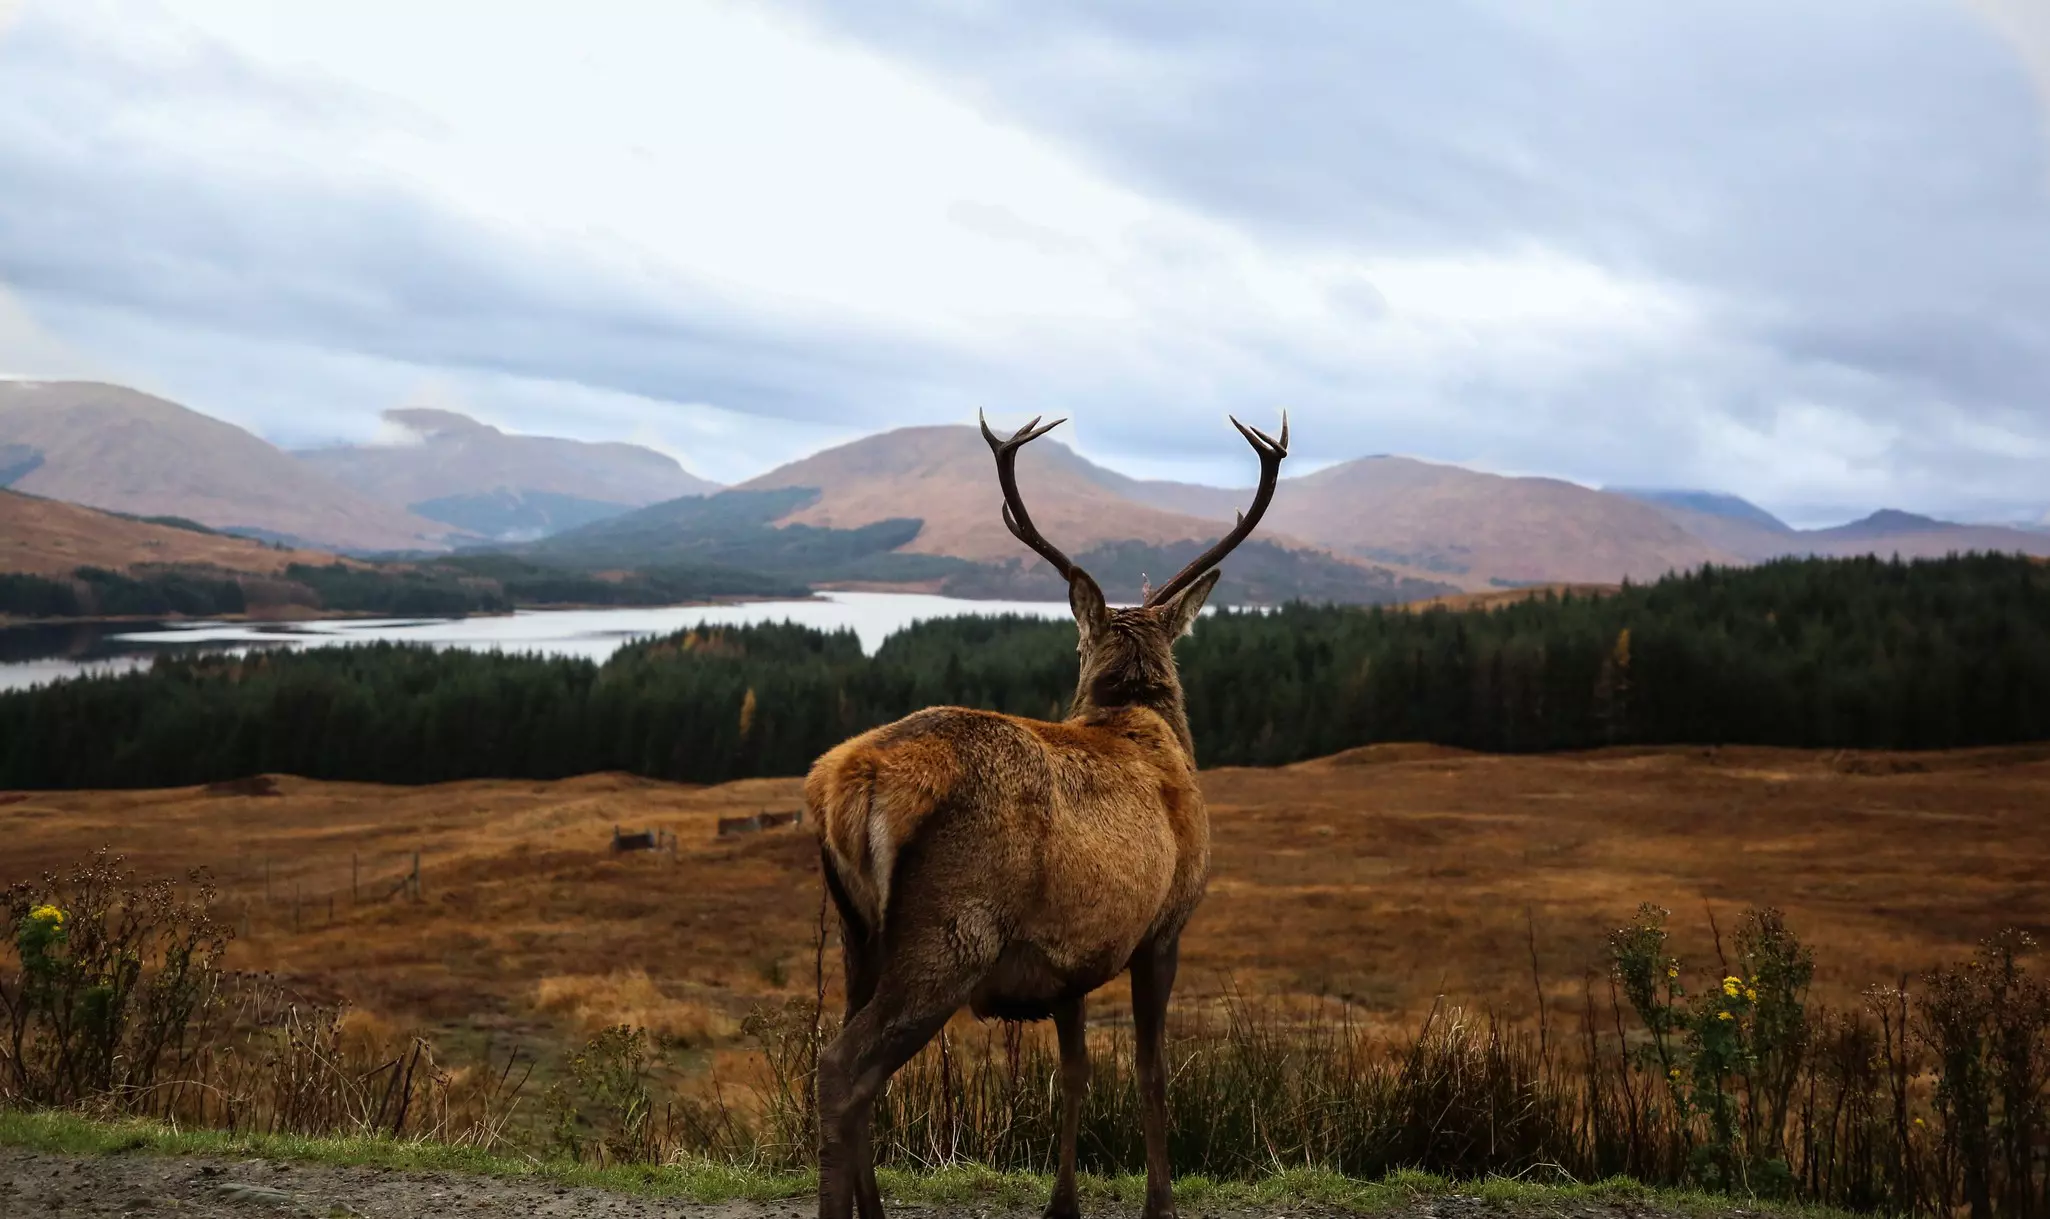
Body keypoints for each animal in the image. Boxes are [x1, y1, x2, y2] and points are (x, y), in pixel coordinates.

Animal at [806, 410, 1288, 1219]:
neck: (1143, 723)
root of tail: (850, 781)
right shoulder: (1164, 925)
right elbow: (1151, 1071)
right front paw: (1161, 1202)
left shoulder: (1068, 961)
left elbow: (1076, 1073)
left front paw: (1064, 1202)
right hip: (950, 930)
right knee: (844, 1067)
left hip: (854, 931)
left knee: (851, 1062)